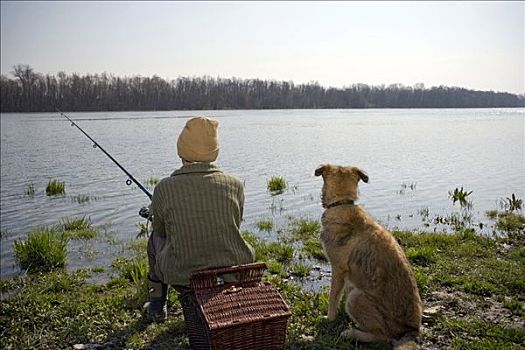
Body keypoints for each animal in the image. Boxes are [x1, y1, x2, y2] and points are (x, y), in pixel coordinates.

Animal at [316, 165, 422, 350]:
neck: (342, 204)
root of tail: (411, 330)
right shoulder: (348, 274)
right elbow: (343, 291)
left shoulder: (338, 269)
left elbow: (333, 297)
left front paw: (329, 318)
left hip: (356, 298)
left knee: (382, 337)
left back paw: (352, 333)